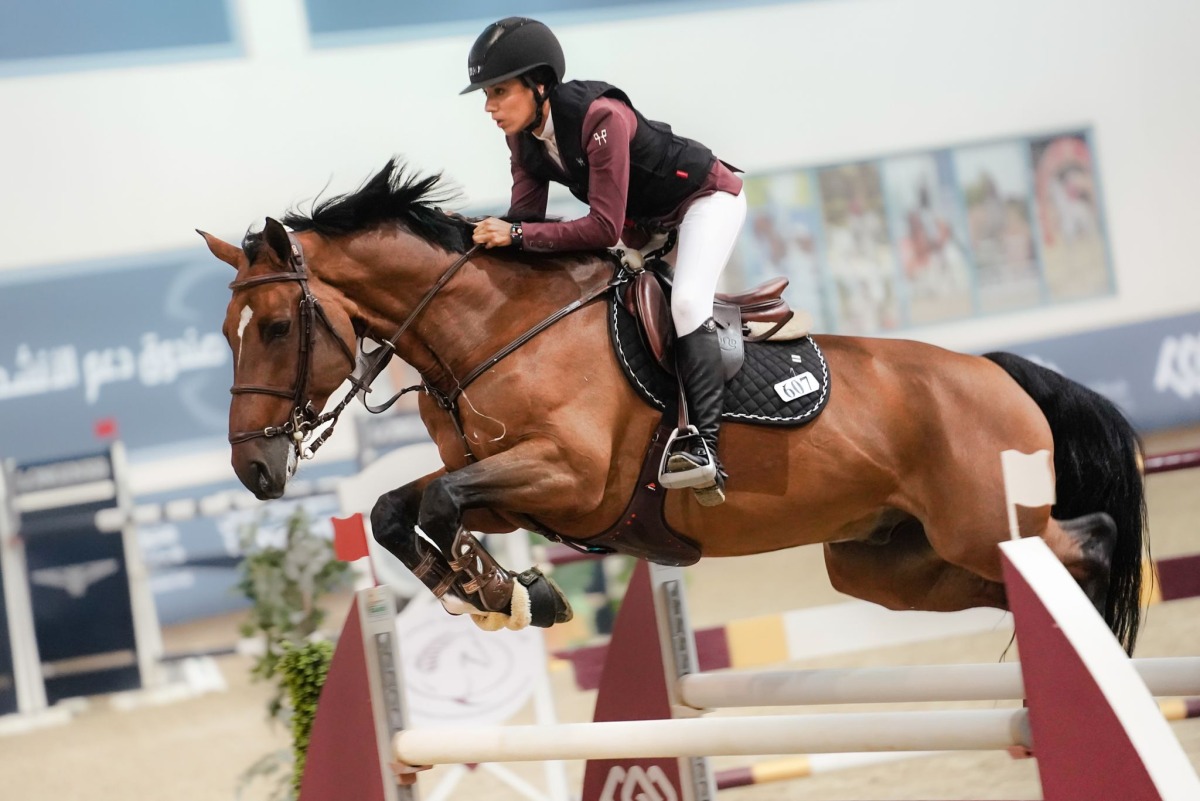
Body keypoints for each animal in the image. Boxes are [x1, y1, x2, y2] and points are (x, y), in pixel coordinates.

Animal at [201, 159, 1147, 652]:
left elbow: (435, 500)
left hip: (979, 522)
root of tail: (999, 373)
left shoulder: (570, 477)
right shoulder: (517, 485)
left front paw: (496, 589)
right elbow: (401, 508)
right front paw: (495, 588)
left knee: (1090, 540)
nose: (254, 469)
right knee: (1013, 581)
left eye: (277, 326)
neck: (493, 326)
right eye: (225, 331)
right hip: (890, 562)